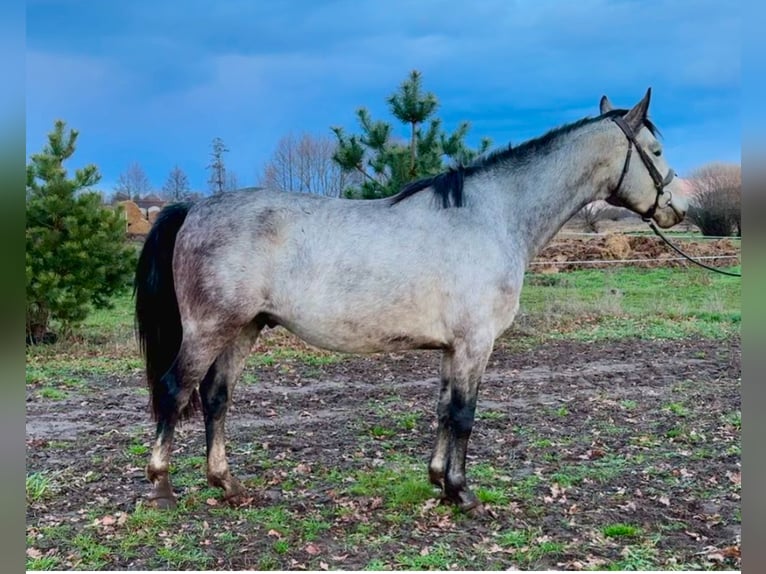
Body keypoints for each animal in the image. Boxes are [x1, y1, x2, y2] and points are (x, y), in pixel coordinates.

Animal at [134, 88, 688, 513]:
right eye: (656, 150)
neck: (493, 215)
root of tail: (194, 208)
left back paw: (228, 484)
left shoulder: (452, 349)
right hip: (209, 330)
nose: (679, 208)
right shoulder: (475, 344)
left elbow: (444, 410)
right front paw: (463, 495)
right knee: (174, 391)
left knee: (215, 397)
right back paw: (162, 486)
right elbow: (464, 415)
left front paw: (439, 481)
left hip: (243, 329)